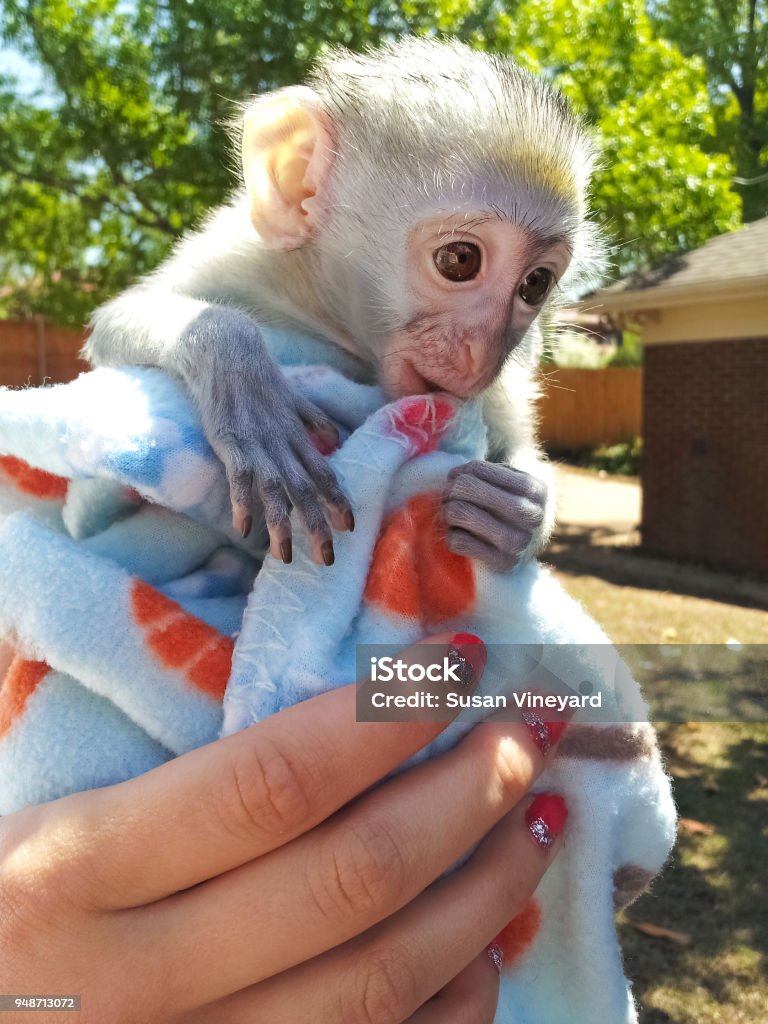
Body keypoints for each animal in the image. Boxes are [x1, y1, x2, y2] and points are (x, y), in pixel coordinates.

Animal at [85, 37, 602, 569]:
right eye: (460, 260)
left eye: (535, 284)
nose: (484, 354)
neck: (327, 316)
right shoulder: (236, 255)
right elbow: (116, 322)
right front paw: (252, 397)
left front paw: (520, 513)